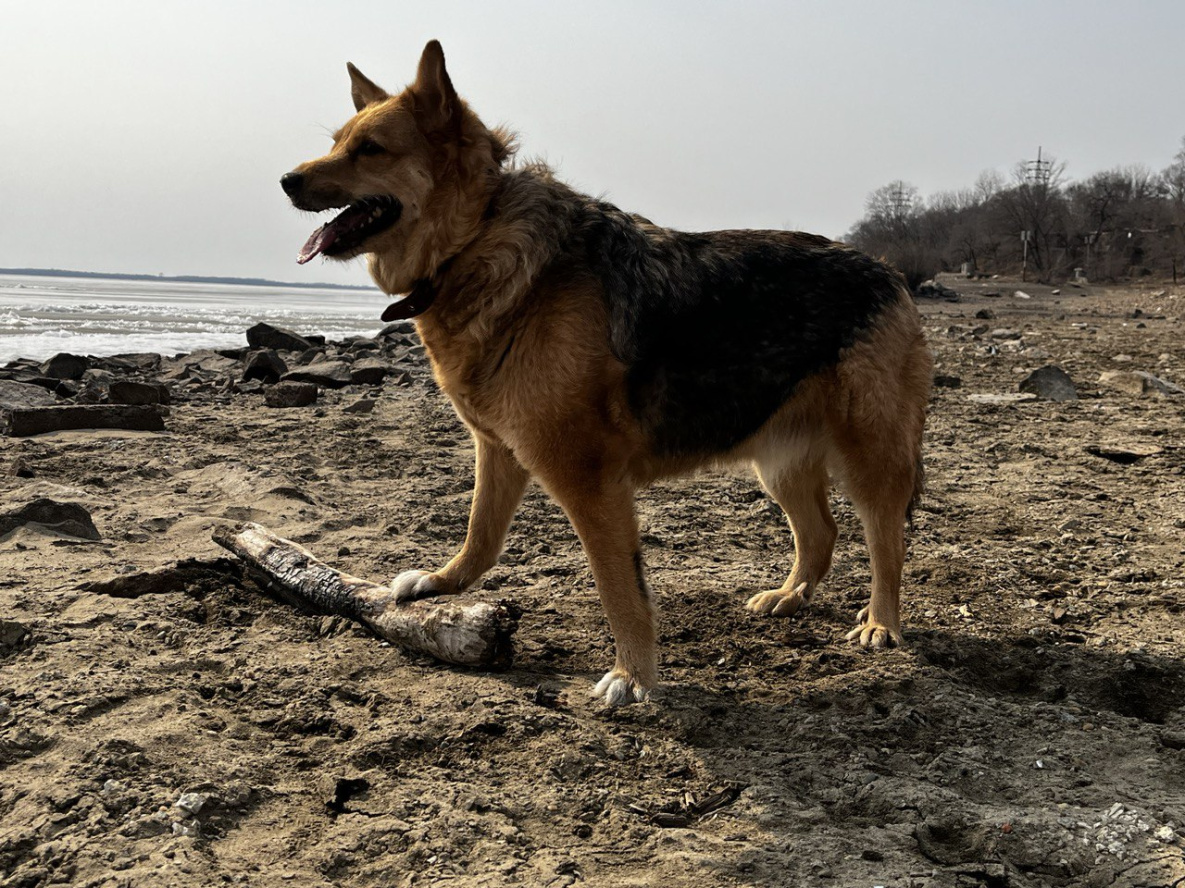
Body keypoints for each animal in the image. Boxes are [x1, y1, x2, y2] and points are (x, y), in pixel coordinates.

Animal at [279, 41, 933, 706]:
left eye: (370, 150)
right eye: (337, 143)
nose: (286, 180)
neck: (476, 238)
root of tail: (888, 272)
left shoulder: (589, 483)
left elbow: (620, 588)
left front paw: (633, 675)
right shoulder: (498, 450)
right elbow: (481, 535)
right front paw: (443, 582)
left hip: (870, 456)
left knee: (888, 539)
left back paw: (881, 622)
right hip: (778, 459)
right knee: (821, 534)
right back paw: (791, 595)